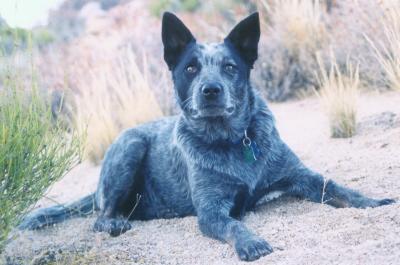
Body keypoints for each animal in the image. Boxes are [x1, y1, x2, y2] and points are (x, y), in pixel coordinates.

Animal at [20, 11, 396, 260]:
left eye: (230, 66)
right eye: (190, 68)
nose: (211, 90)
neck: (233, 140)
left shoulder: (300, 176)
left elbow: (338, 188)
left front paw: (374, 202)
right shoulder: (212, 210)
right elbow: (234, 226)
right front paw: (251, 242)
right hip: (130, 146)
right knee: (99, 217)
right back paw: (114, 222)